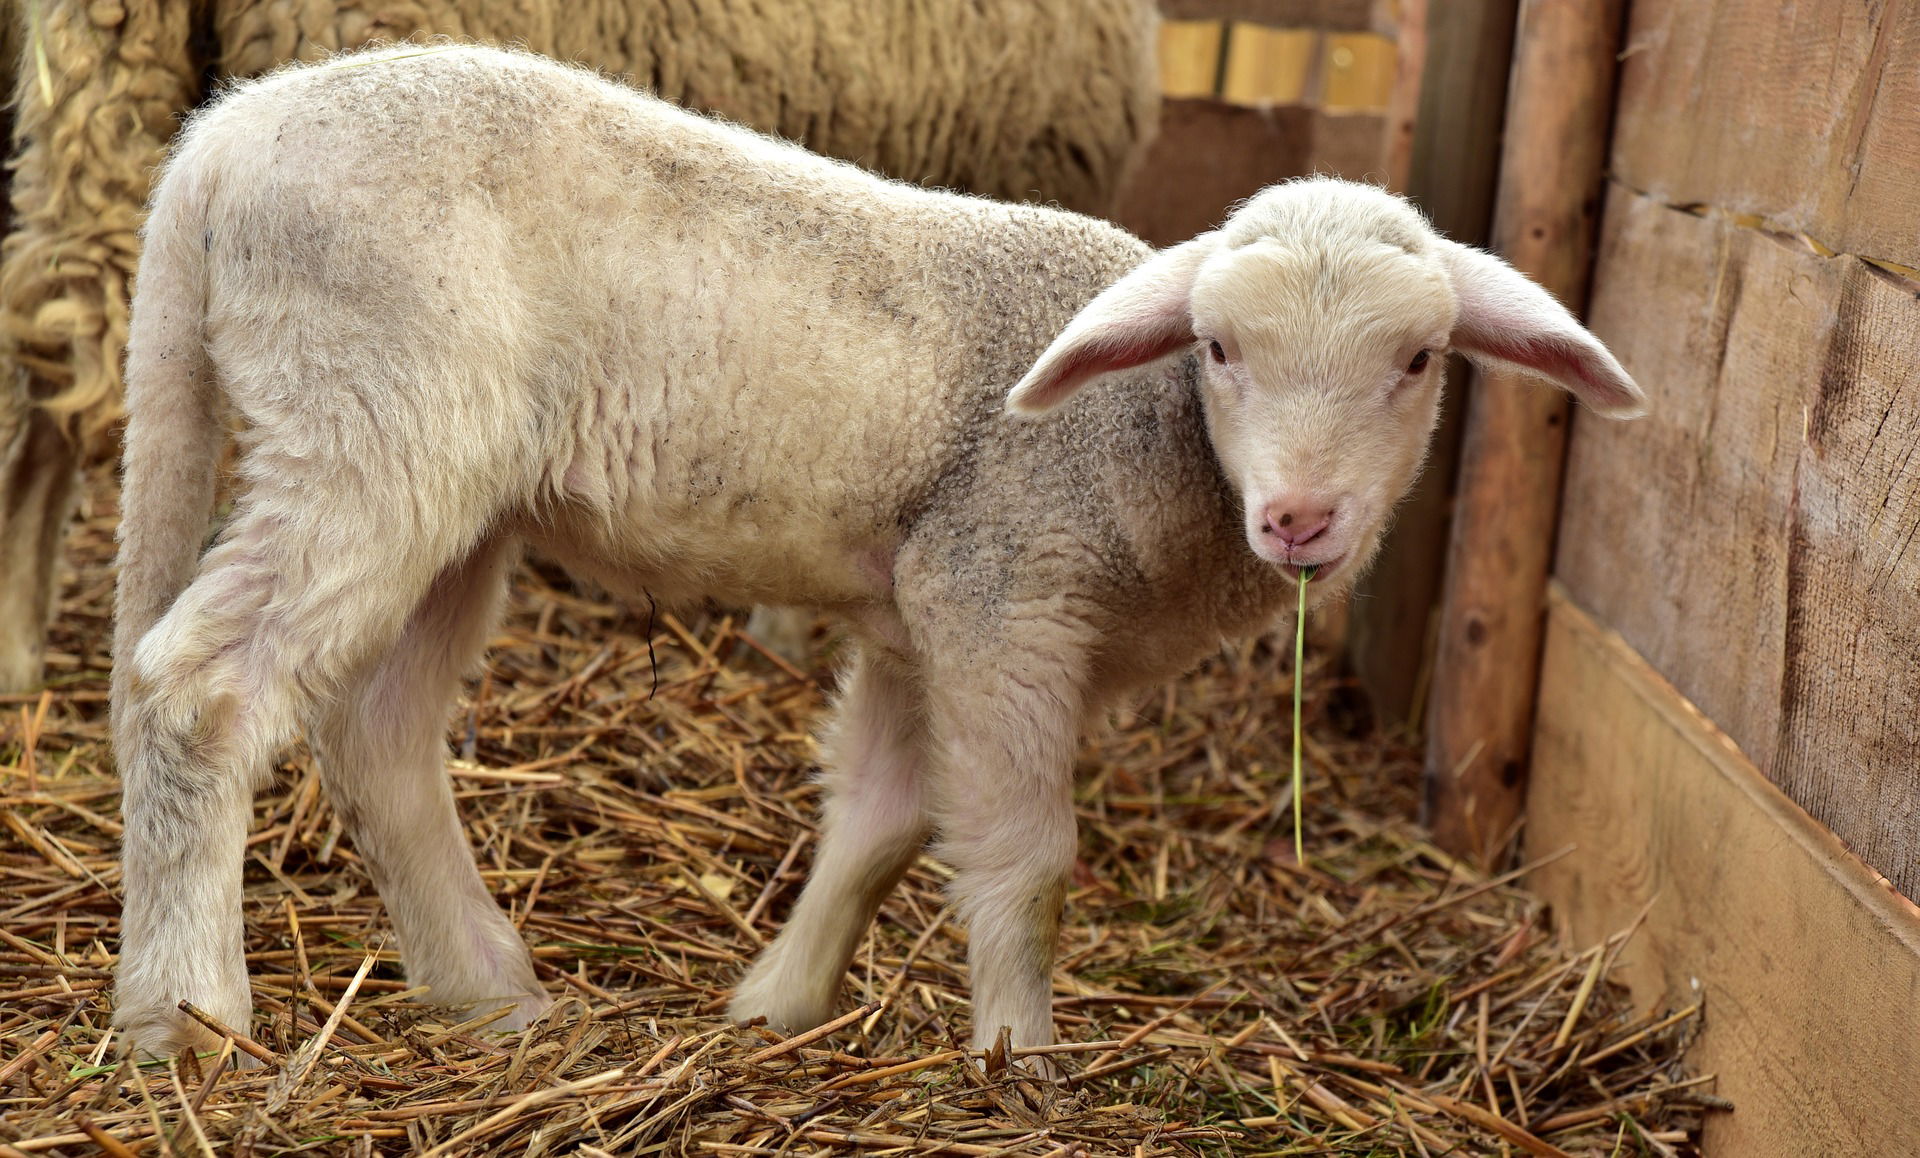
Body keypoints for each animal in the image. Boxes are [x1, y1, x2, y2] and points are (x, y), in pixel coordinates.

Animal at [105, 45, 1643, 1067]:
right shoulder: (1005, 594)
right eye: (1217, 348)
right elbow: (1023, 856)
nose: (1304, 523)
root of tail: (216, 145)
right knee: (200, 688)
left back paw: (485, 986)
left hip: (446, 487)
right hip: (368, 416)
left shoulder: (922, 610)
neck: (1146, 439)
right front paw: (1022, 1059)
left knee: (375, 728)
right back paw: (189, 1015)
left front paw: (776, 1005)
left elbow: (885, 819)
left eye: (1418, 361)